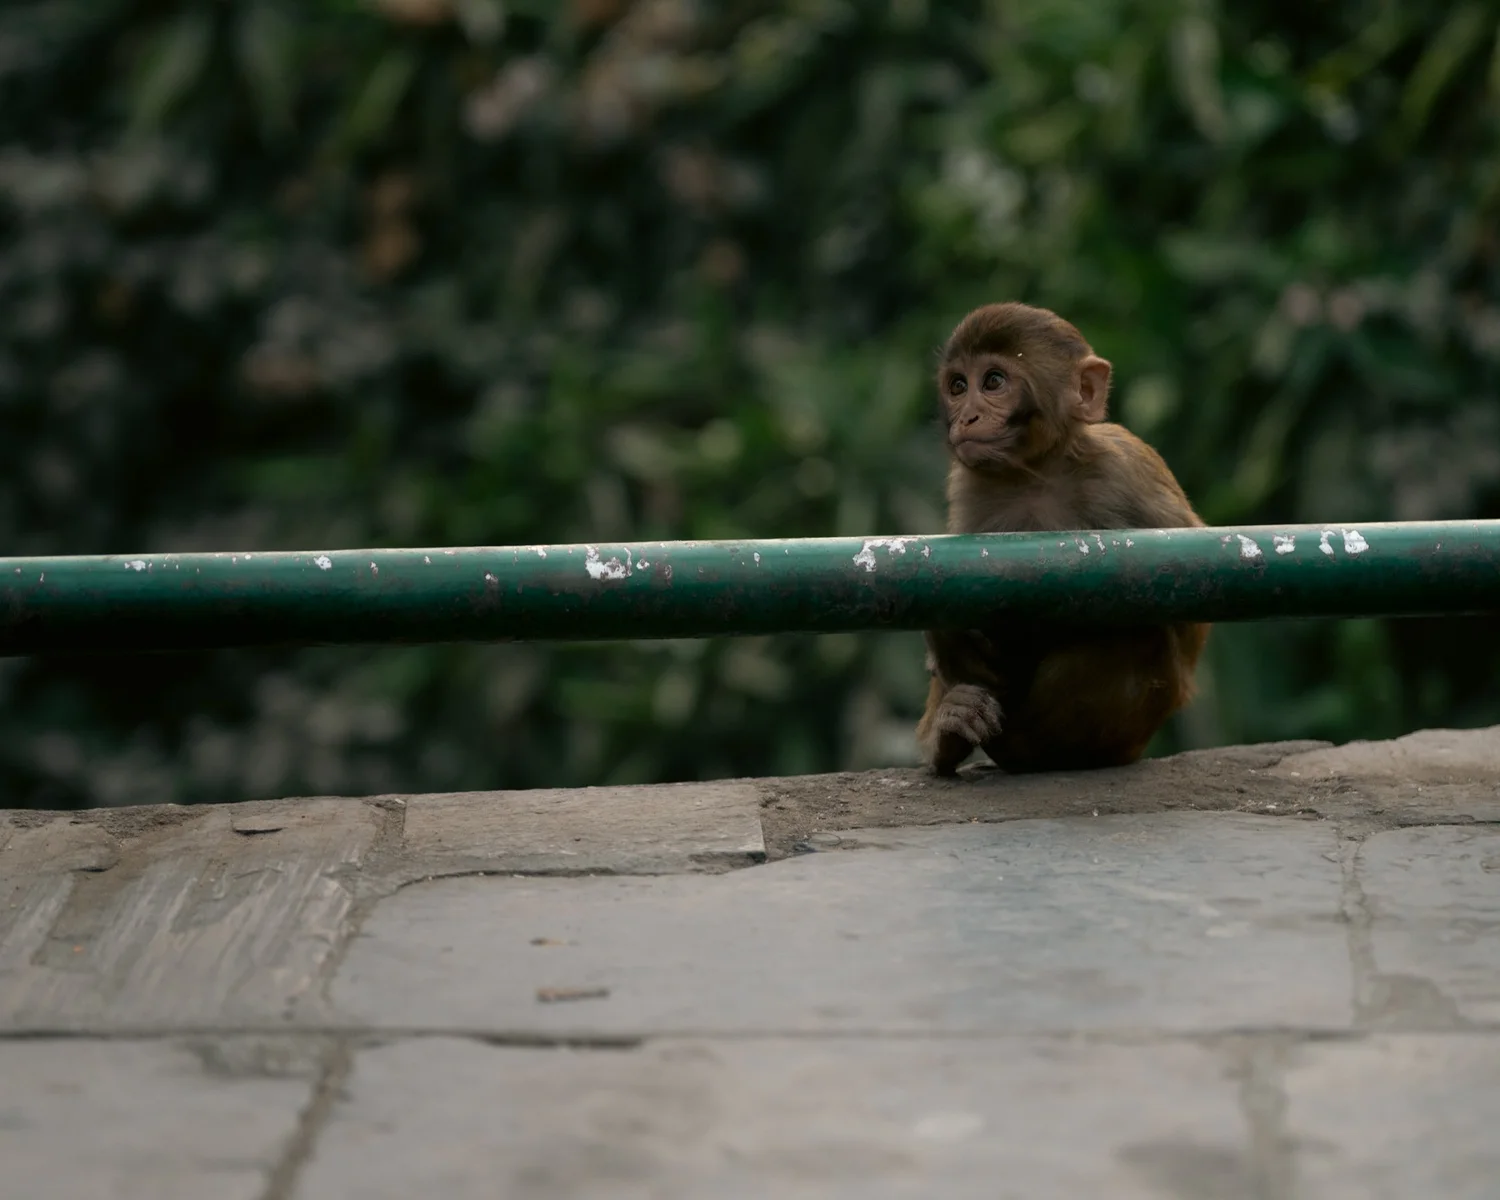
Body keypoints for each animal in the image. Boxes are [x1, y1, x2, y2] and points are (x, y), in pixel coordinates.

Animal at [915, 302, 1209, 776]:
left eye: (993, 381)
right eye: (958, 386)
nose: (966, 417)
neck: (1037, 473)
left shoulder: (1124, 471)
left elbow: (1191, 610)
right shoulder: (969, 489)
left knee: (1136, 632)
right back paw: (951, 731)